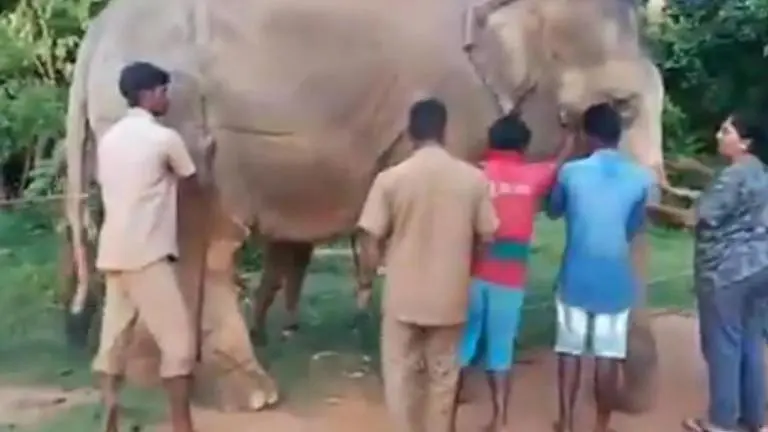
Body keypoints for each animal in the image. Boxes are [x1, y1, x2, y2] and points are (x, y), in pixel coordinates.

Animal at [64, 0, 665, 412]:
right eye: (617, 108)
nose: (628, 401)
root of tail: (97, 31)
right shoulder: (457, 105)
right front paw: (455, 385)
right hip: (178, 120)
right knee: (204, 238)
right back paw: (245, 392)